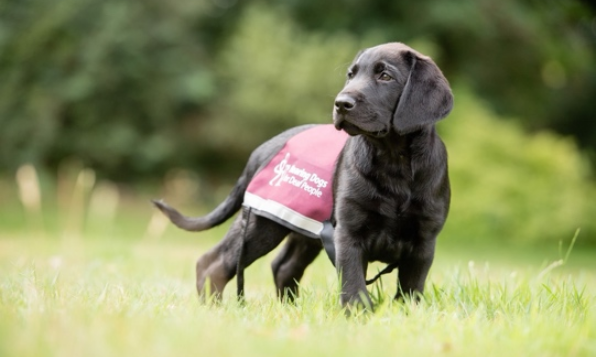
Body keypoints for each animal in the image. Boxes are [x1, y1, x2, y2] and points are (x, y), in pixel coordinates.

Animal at [154, 41, 452, 306]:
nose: (341, 103)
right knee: (212, 263)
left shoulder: (424, 241)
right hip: (262, 223)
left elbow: (410, 290)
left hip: (305, 229)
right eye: (351, 75)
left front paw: (405, 314)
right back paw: (213, 309)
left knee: (282, 266)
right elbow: (354, 284)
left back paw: (288, 308)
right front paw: (359, 315)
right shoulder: (349, 233)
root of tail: (261, 150)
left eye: (386, 76)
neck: (393, 161)